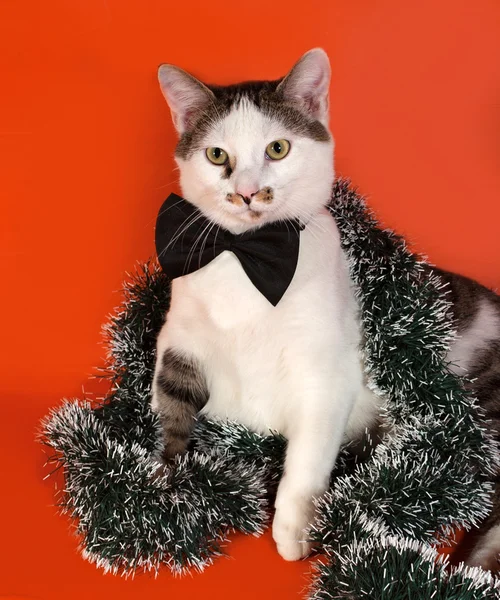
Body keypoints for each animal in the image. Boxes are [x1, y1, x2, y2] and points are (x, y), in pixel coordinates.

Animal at [150, 48, 500, 568]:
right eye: (216, 155)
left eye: (278, 149)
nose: (247, 192)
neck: (247, 258)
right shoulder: (179, 339)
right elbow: (169, 404)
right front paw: (163, 480)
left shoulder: (325, 373)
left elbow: (309, 454)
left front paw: (294, 527)